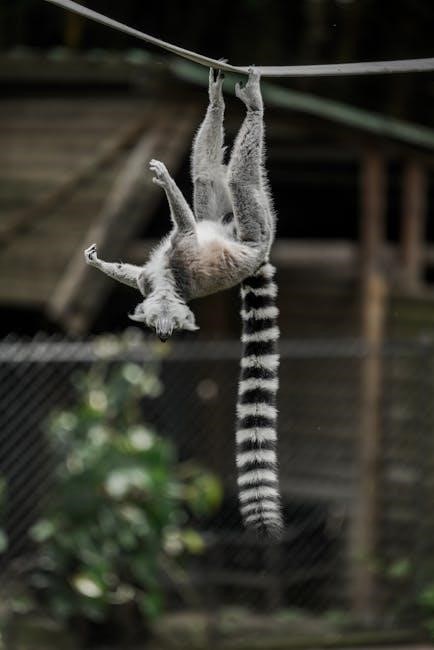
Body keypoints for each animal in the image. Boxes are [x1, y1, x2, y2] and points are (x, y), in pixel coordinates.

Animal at [84, 67, 283, 537]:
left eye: (169, 328)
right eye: (157, 327)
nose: (160, 337)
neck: (169, 283)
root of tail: (257, 252)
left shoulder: (186, 250)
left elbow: (184, 223)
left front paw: (164, 181)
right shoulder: (147, 279)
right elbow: (133, 270)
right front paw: (98, 262)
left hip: (258, 226)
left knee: (241, 179)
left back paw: (252, 103)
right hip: (227, 216)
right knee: (209, 174)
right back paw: (217, 100)